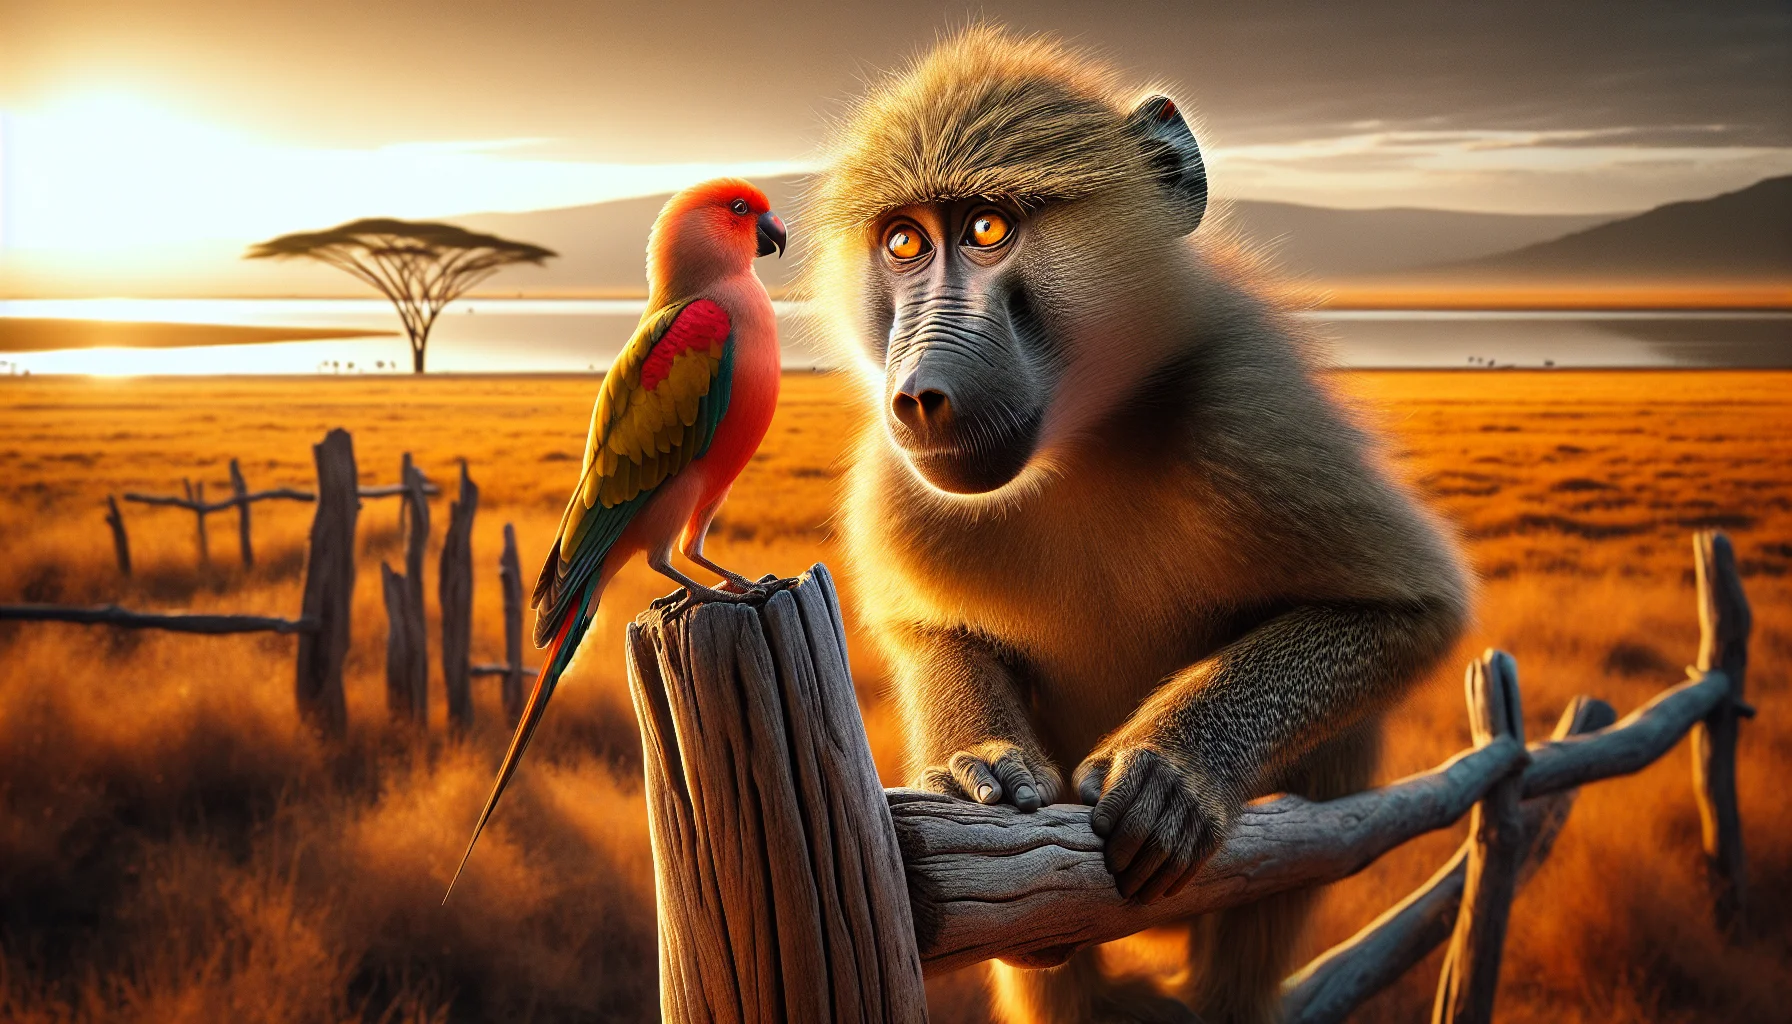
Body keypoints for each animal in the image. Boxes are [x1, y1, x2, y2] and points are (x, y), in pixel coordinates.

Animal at [804, 27, 1471, 1024]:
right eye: (904, 241)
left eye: (989, 229)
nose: (921, 394)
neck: (1081, 443)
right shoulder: (903, 482)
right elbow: (931, 629)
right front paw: (975, 766)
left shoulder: (1248, 414)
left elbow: (1408, 611)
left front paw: (1168, 770)